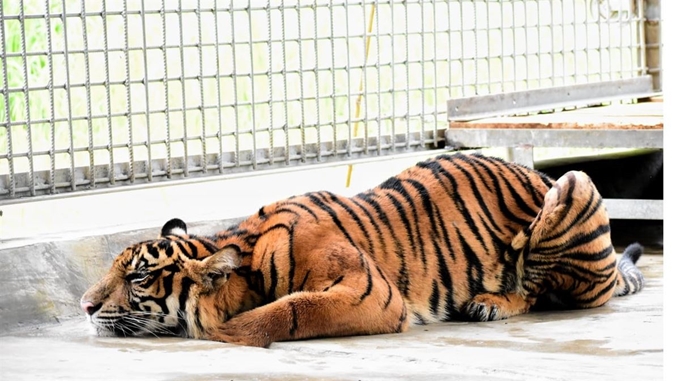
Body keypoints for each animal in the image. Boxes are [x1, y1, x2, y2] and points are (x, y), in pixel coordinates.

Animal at [78, 152, 644, 348]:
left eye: (137, 278)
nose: (84, 306)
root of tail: (540, 171)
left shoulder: (371, 292)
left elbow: (295, 308)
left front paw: (226, 331)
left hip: (572, 184)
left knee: (540, 288)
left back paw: (489, 303)